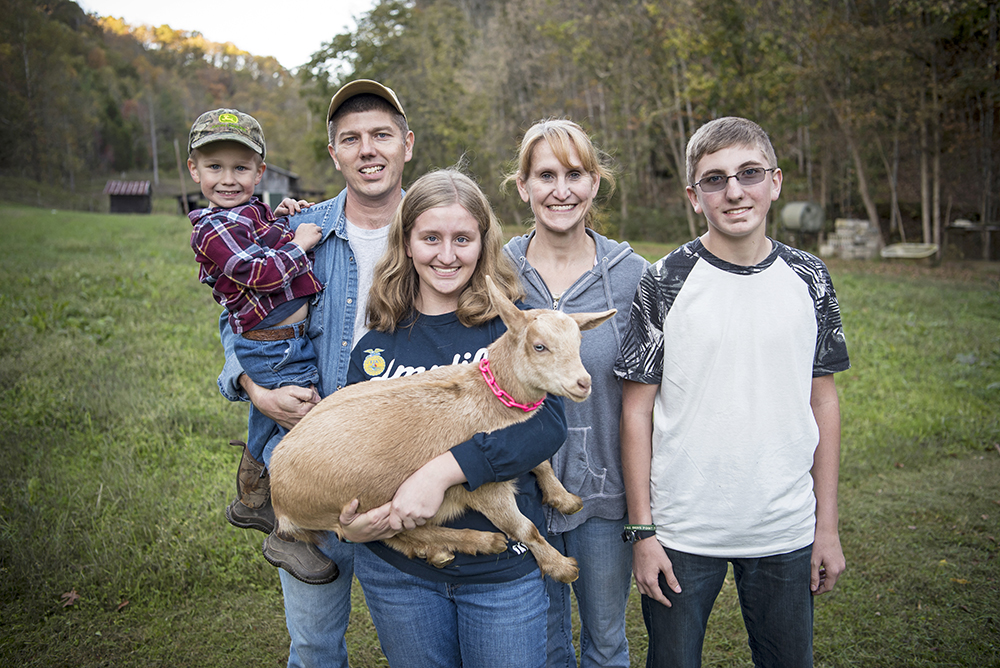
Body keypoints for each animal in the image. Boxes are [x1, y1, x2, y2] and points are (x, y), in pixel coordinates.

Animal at [270, 276, 612, 580]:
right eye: (539, 346)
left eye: (579, 342)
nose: (583, 383)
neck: (489, 394)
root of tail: (280, 502)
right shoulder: (485, 489)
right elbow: (524, 528)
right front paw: (561, 567)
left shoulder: (518, 437)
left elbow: (540, 462)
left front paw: (565, 499)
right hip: (349, 508)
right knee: (376, 535)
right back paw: (474, 542)